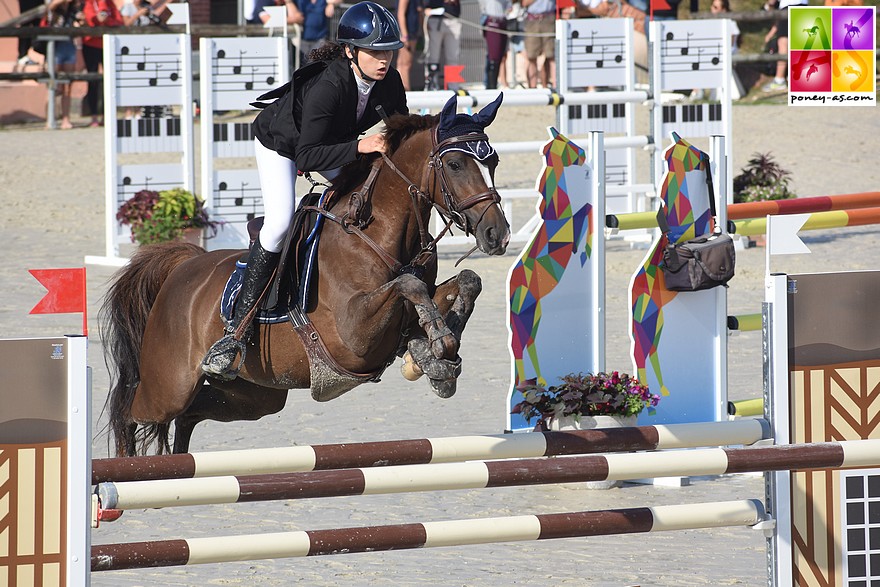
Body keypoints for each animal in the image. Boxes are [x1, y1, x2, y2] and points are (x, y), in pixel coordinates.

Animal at [101, 96, 516, 458]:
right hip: (168, 385)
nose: (497, 234)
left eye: (494, 161)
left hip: (255, 394)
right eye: (456, 165)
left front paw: (435, 357)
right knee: (129, 411)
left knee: (189, 415)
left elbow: (465, 281)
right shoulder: (353, 333)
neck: (376, 233)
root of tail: (184, 267)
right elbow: (408, 285)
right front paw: (440, 345)